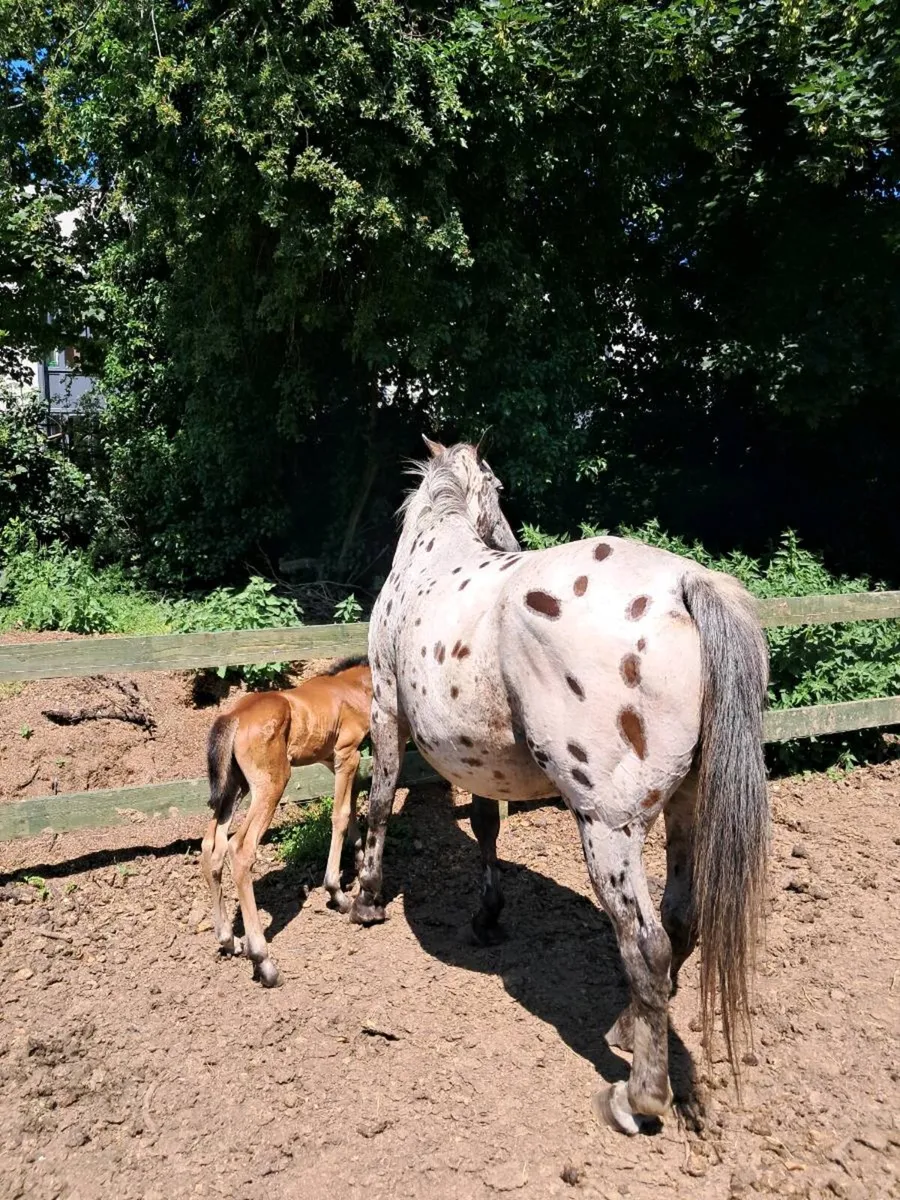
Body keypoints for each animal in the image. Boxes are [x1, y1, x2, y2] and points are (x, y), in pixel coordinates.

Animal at [200, 656, 372, 986]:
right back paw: (263, 961)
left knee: (211, 845)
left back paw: (229, 939)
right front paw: (337, 893)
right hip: (271, 784)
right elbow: (340, 814)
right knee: (239, 849)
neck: (353, 687)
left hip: (234, 786)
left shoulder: (331, 758)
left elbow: (352, 799)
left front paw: (359, 857)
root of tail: (233, 717)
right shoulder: (346, 753)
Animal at [352, 438, 769, 1136]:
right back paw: (627, 1029)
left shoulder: (385, 708)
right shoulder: (480, 756)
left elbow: (379, 805)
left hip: (607, 825)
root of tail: (684, 587)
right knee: (680, 922)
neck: (435, 550)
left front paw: (364, 897)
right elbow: (486, 826)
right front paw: (486, 916)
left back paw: (635, 1098)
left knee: (648, 945)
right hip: (685, 808)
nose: (509, 536)